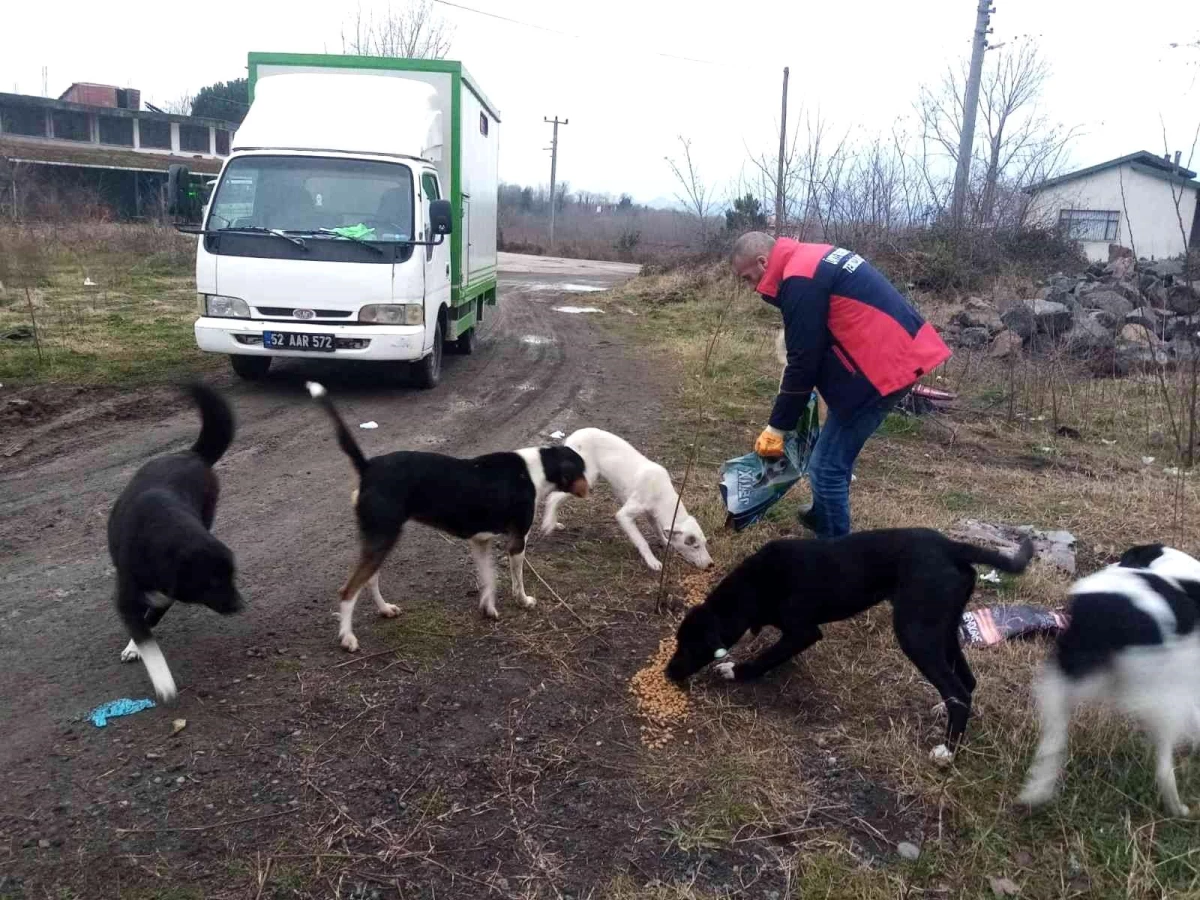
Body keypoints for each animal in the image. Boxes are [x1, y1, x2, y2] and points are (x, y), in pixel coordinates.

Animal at [109, 381, 244, 705]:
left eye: (232, 577)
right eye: (210, 583)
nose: (240, 605)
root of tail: (192, 455)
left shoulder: (164, 596)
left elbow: (150, 620)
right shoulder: (127, 597)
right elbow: (147, 640)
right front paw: (163, 680)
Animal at [304, 384, 590, 652]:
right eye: (582, 469)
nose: (590, 490)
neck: (537, 469)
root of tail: (368, 467)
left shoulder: (480, 541)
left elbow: (489, 578)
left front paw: (488, 608)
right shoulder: (517, 541)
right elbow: (515, 580)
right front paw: (524, 601)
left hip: (381, 540)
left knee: (369, 579)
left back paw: (385, 610)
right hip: (382, 538)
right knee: (349, 590)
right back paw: (347, 637)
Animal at [667, 528, 1032, 768]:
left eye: (691, 646)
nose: (668, 673)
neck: (754, 585)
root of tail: (952, 547)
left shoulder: (804, 632)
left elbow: (766, 656)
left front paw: (735, 671)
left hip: (915, 632)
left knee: (957, 686)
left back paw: (947, 751)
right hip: (942, 628)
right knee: (965, 683)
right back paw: (945, 713)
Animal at [1017, 542, 1200, 816]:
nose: (1110, 565)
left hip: (1058, 684)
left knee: (1053, 742)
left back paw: (1035, 792)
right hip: (1159, 701)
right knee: (1164, 768)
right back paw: (1177, 806)